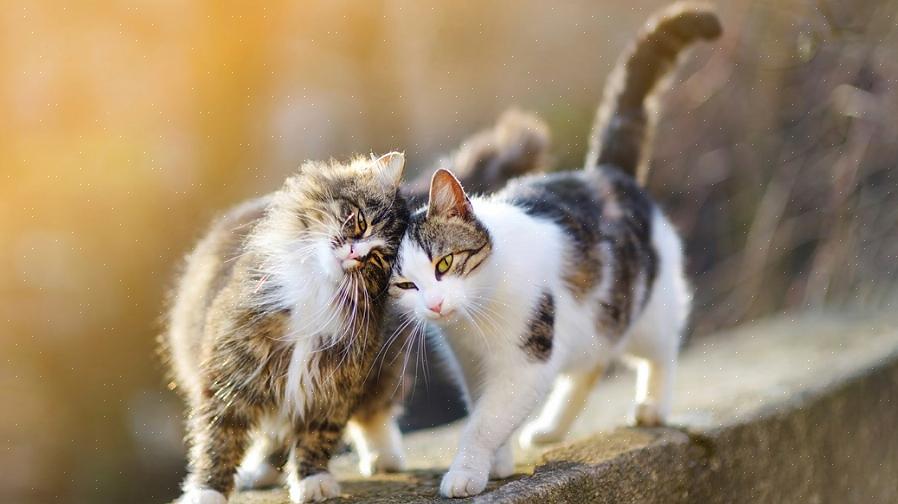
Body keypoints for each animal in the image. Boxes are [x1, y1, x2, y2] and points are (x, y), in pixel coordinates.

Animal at [164, 112, 548, 502]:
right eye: (360, 222)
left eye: (378, 258)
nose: (354, 252)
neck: (318, 291)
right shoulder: (236, 368)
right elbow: (220, 438)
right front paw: (207, 490)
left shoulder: (335, 376)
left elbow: (317, 434)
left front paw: (312, 480)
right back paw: (260, 471)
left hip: (384, 365)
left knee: (372, 413)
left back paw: (384, 456)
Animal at [390, 4, 720, 500]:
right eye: (405, 284)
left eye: (444, 264)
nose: (434, 304)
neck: (476, 318)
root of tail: (605, 172)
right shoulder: (472, 365)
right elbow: (485, 410)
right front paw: (498, 462)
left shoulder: (527, 361)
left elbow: (485, 422)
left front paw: (467, 471)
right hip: (593, 321)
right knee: (590, 364)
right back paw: (550, 428)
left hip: (647, 308)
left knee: (661, 351)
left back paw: (652, 405)